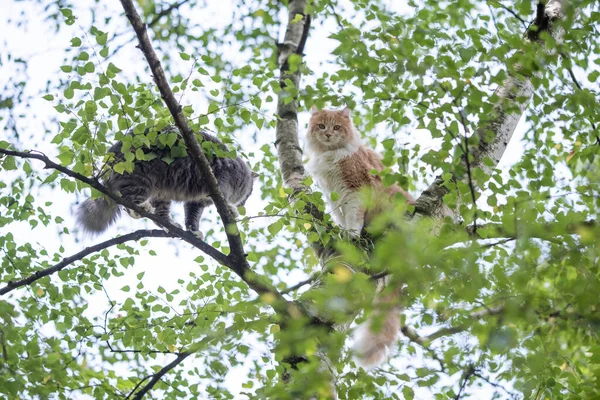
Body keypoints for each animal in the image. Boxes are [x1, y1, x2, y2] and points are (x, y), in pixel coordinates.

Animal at [76, 127, 256, 238]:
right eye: (249, 194)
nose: (244, 203)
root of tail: (111, 156)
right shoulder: (220, 180)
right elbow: (223, 198)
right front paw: (230, 209)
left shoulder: (196, 202)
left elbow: (192, 217)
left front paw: (193, 230)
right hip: (141, 177)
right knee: (127, 199)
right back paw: (140, 208)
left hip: (161, 192)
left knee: (158, 214)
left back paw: (168, 223)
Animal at [308, 104, 414, 368]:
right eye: (321, 126)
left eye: (337, 127)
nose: (328, 135)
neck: (330, 155)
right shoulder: (335, 198)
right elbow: (342, 218)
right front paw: (341, 232)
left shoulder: (354, 190)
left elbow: (353, 219)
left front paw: (351, 235)